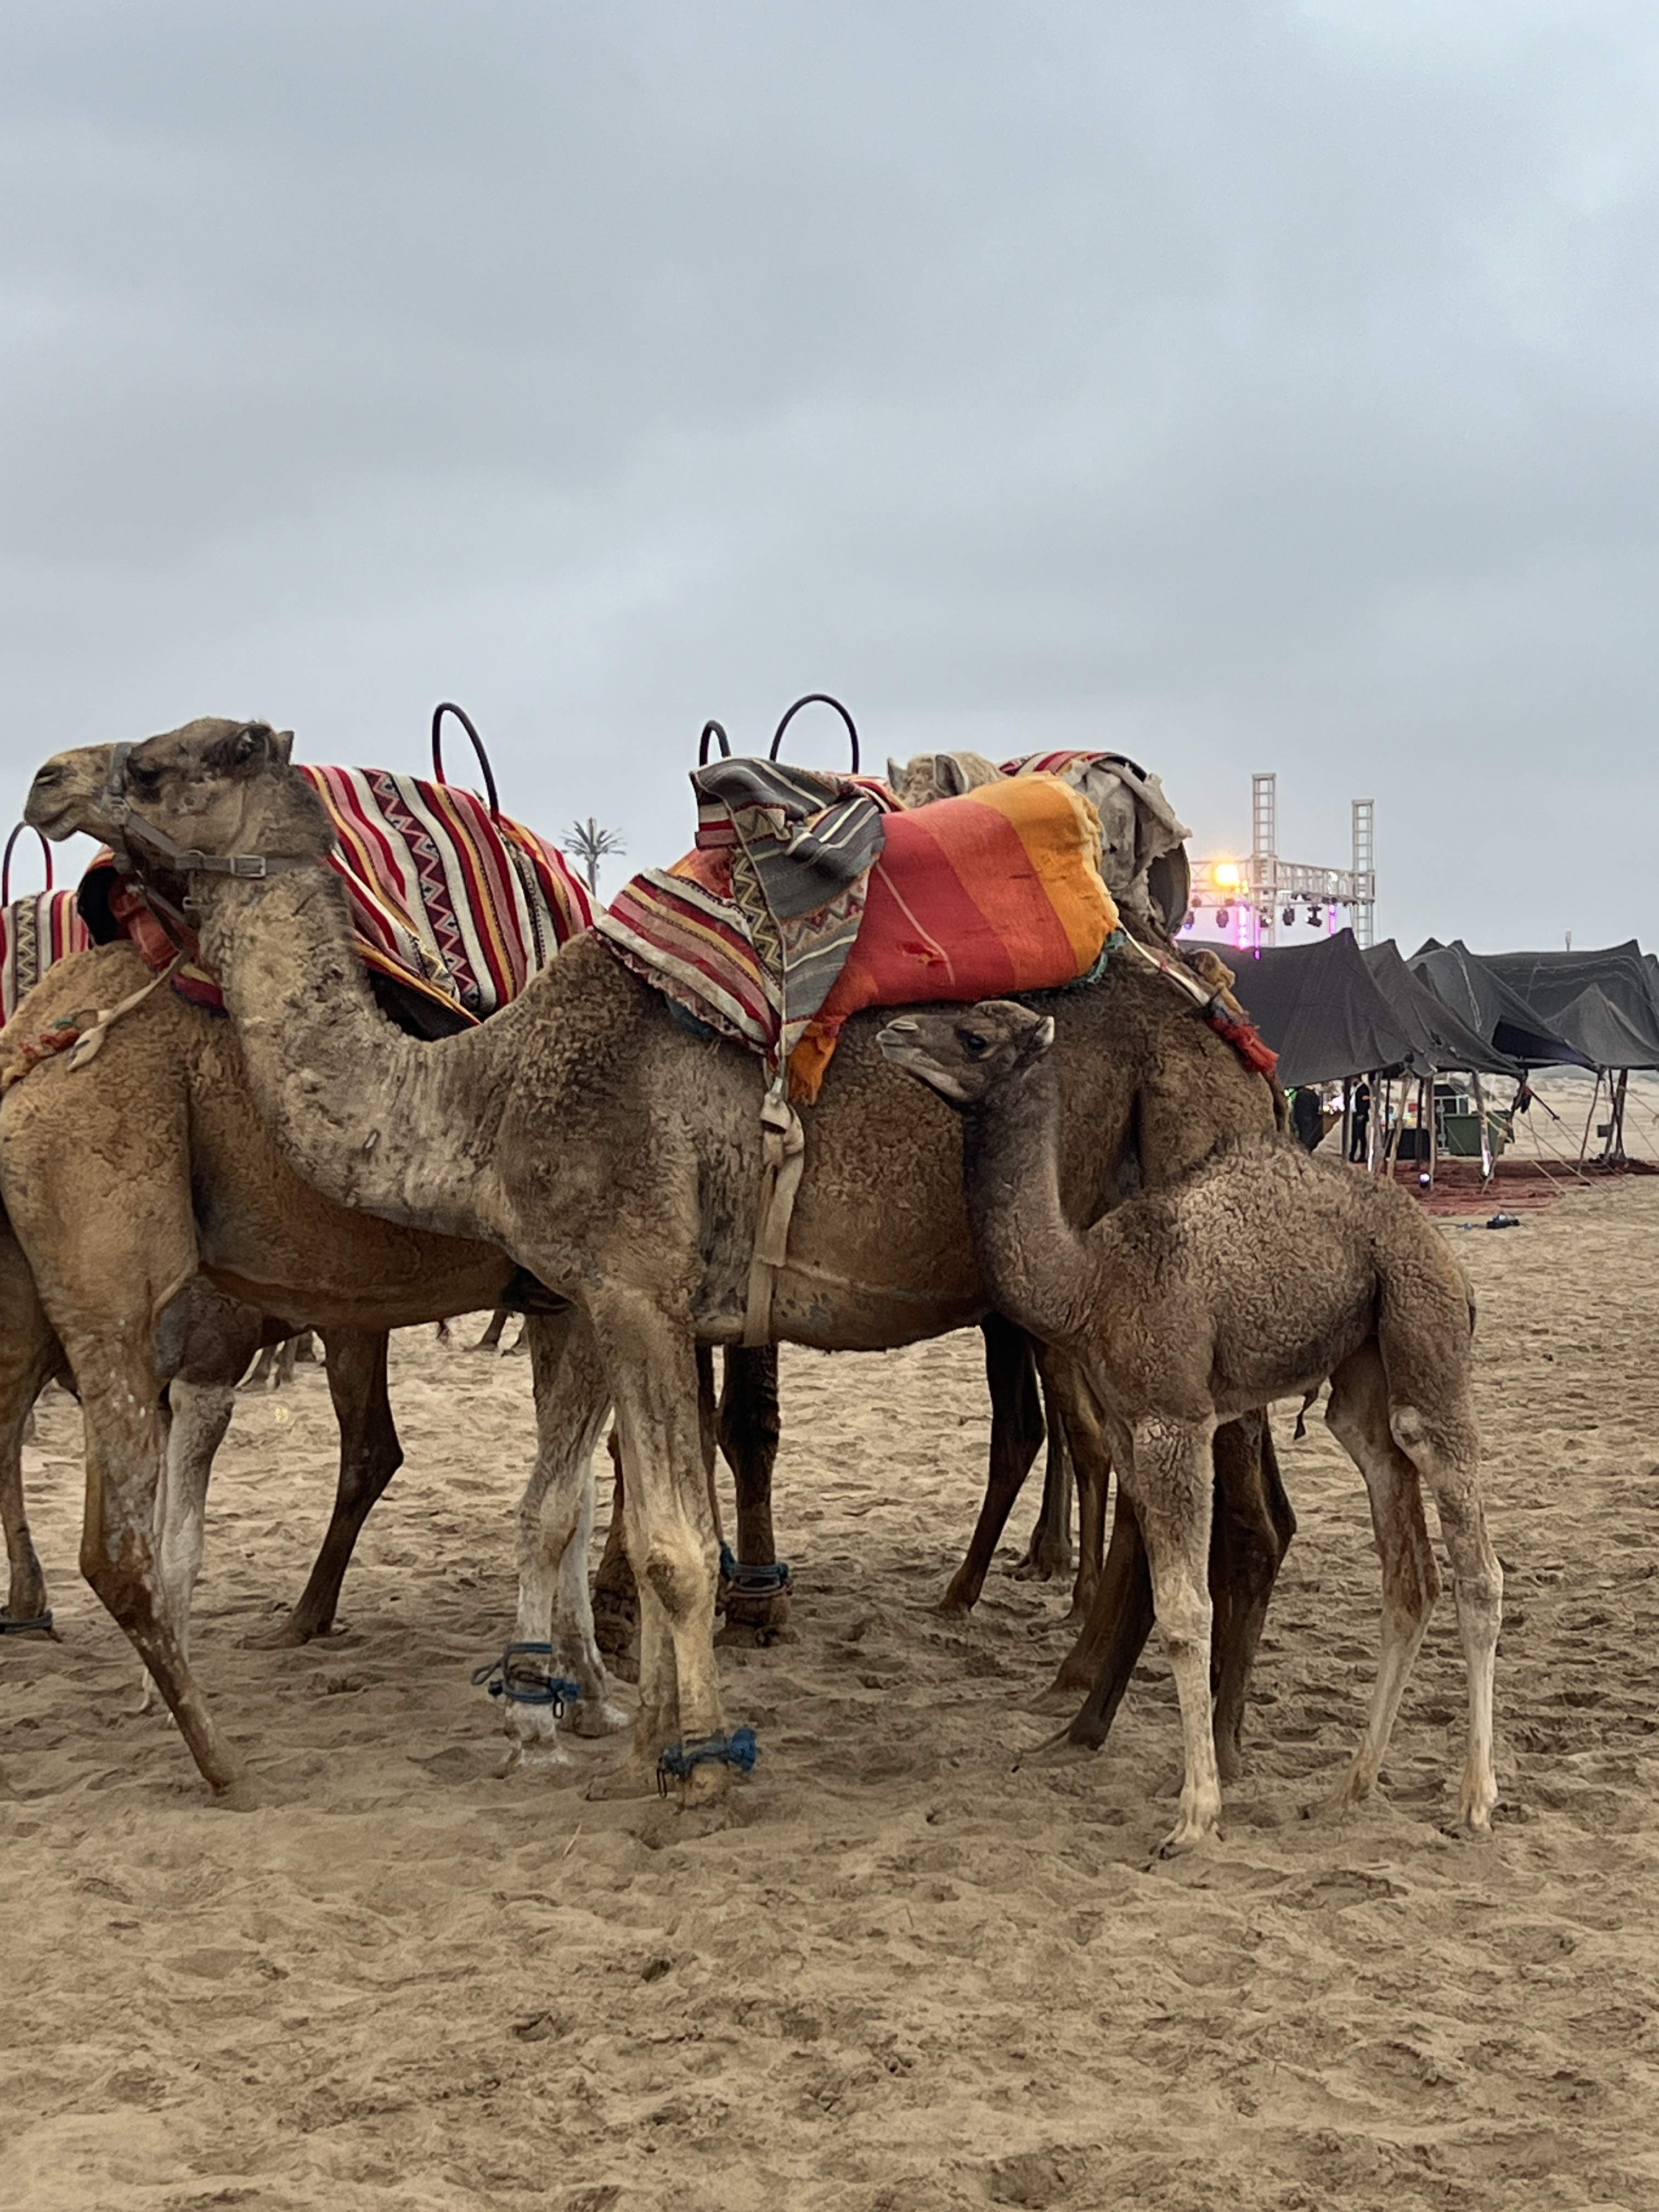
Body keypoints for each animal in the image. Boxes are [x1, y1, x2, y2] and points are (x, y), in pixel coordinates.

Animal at [28, 720, 1295, 1808]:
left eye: (169, 763)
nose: (46, 779)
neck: (487, 1090)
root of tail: (1224, 1015)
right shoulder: (608, 1297)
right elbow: (618, 1521)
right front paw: (627, 1734)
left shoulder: (634, 1287)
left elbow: (673, 1546)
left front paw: (698, 1768)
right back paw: (1084, 1717)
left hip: (1188, 1216)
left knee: (1238, 1515)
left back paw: (1212, 1748)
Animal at [878, 999, 1503, 1854]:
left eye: (975, 1038)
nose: (893, 1033)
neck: (1090, 1285)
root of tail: (1450, 1258)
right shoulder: (1131, 1427)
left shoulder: (1175, 1420)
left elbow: (1186, 1609)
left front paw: (1195, 1814)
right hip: (1363, 1381)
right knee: (1407, 1566)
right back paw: (1351, 1787)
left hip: (1425, 1334)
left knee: (1475, 1562)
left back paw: (1475, 1799)